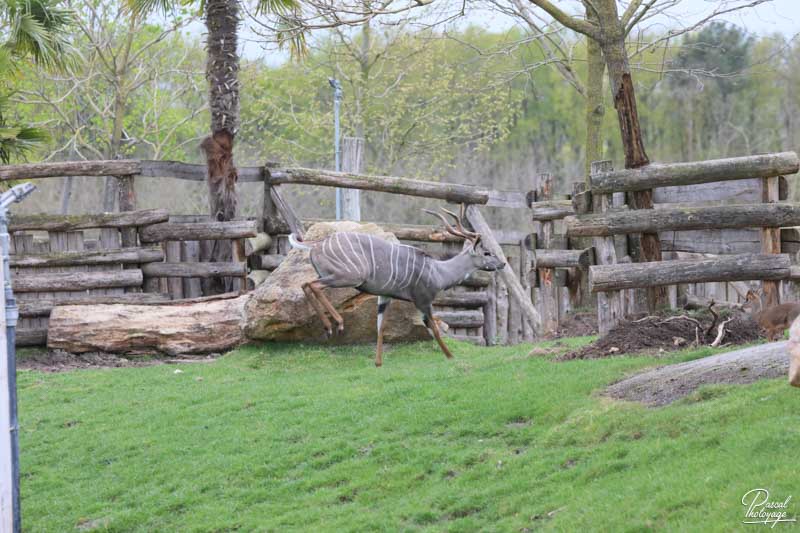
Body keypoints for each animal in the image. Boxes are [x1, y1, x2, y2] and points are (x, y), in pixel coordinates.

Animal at [290, 208, 506, 366]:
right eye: (487, 253)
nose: (503, 263)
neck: (438, 271)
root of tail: (317, 245)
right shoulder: (423, 300)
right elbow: (434, 328)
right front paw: (450, 356)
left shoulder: (385, 296)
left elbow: (380, 328)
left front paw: (378, 363)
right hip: (348, 277)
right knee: (312, 285)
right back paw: (337, 323)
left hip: (335, 276)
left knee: (305, 284)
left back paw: (329, 327)